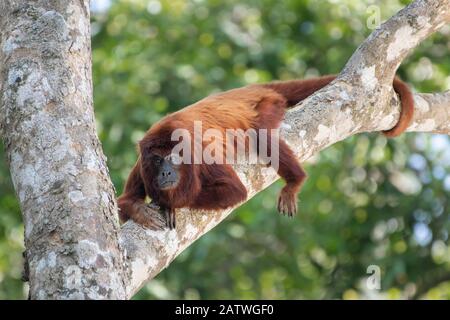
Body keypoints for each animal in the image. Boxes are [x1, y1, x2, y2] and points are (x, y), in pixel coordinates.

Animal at [117, 75, 414, 230]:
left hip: (269, 104)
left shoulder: (202, 155)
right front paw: (140, 209)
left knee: (260, 134)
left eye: (174, 157)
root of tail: (253, 88)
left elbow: (234, 191)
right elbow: (122, 204)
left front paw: (169, 204)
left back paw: (295, 181)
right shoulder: (140, 165)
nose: (166, 172)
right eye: (157, 160)